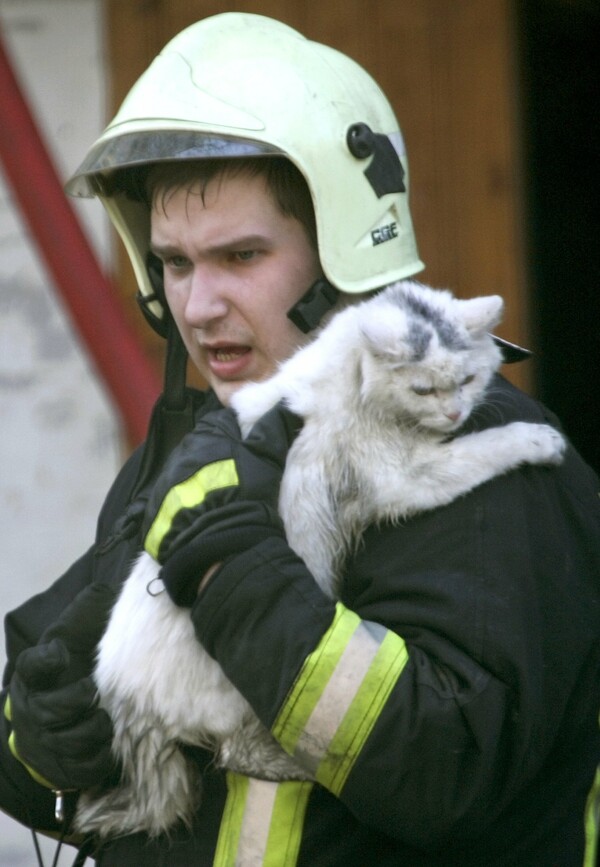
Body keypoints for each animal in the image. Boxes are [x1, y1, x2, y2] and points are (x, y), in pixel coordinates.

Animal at [74, 282, 564, 836]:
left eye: (467, 379)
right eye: (423, 390)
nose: (456, 415)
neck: (353, 376)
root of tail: (122, 700)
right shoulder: (402, 476)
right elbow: (483, 449)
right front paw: (538, 439)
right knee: (240, 752)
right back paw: (301, 770)